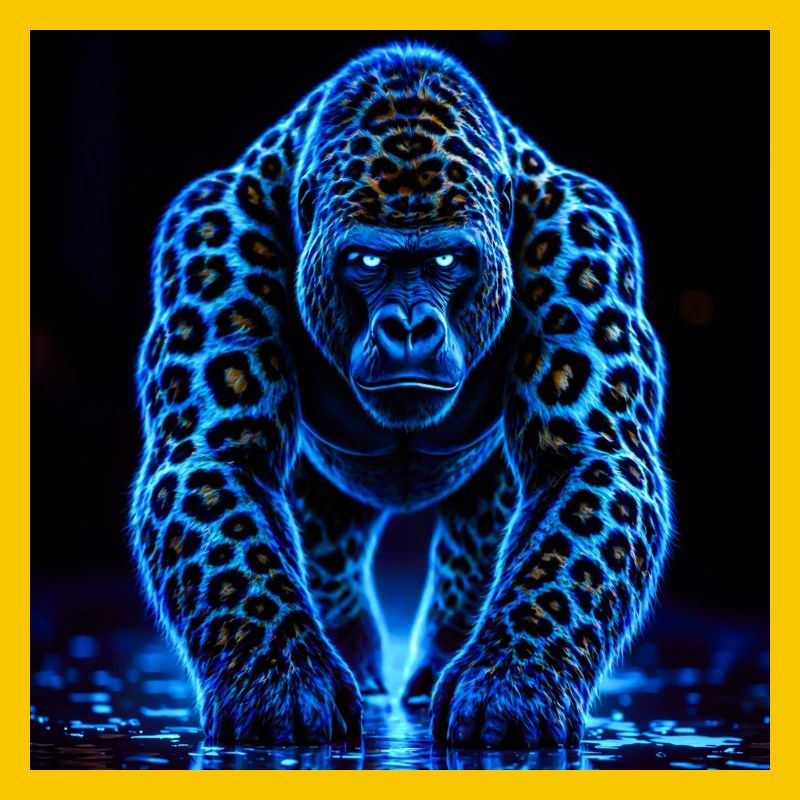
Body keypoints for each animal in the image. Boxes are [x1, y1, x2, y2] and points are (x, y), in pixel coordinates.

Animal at [129, 41, 672, 749]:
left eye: (445, 261)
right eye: (367, 262)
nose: (409, 326)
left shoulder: (586, 240)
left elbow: (577, 489)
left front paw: (511, 683)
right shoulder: (211, 236)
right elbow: (225, 497)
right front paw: (281, 682)